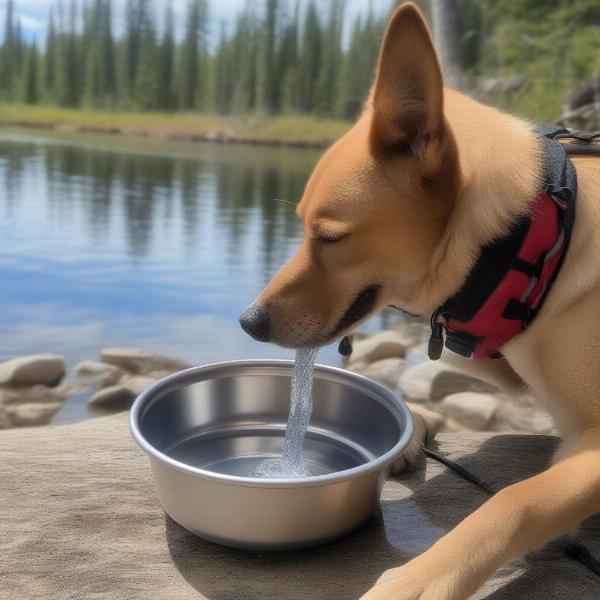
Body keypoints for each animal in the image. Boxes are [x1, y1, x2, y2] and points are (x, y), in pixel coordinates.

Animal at [240, 4, 600, 600]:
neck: (534, 237)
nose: (249, 321)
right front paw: (415, 421)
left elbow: (516, 500)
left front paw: (423, 578)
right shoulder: (492, 342)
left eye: (330, 237)